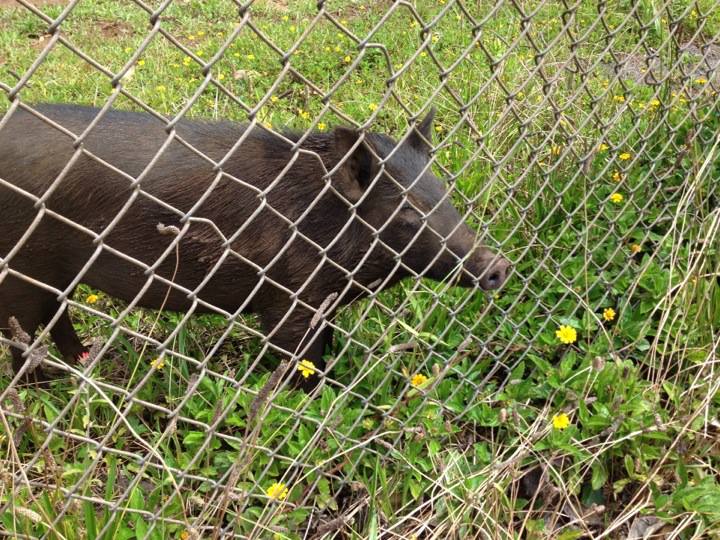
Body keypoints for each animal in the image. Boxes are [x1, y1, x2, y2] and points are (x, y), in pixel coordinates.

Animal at [0, 103, 510, 386]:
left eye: (443, 196)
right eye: (407, 213)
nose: (497, 265)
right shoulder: (289, 299)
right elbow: (300, 358)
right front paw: (313, 396)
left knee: (55, 312)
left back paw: (84, 362)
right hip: (20, 266)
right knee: (19, 331)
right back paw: (41, 388)